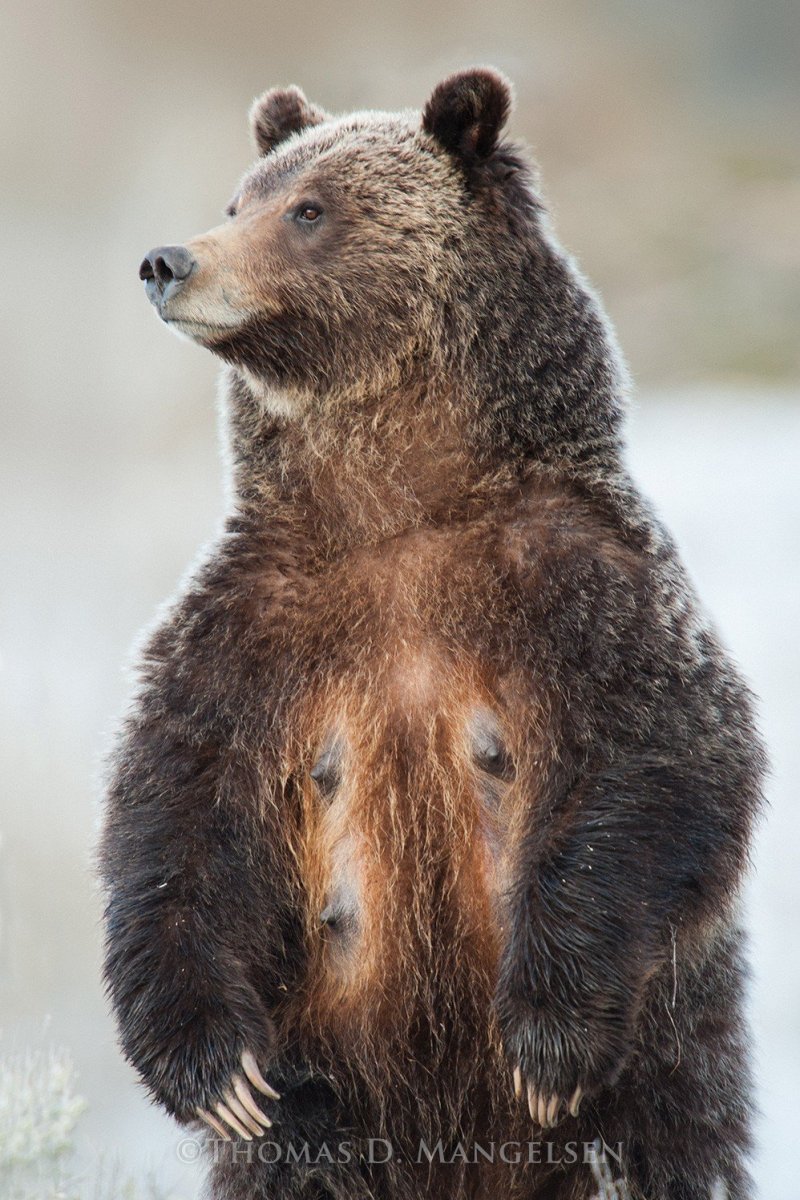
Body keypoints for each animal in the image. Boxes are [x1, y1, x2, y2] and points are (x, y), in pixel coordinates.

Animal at [100, 68, 765, 1200]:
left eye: (309, 208)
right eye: (240, 199)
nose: (168, 260)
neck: (396, 504)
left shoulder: (581, 588)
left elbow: (659, 760)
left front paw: (544, 1042)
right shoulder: (250, 624)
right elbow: (175, 815)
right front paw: (215, 1072)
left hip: (666, 1068)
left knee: (656, 1148)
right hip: (333, 1112)